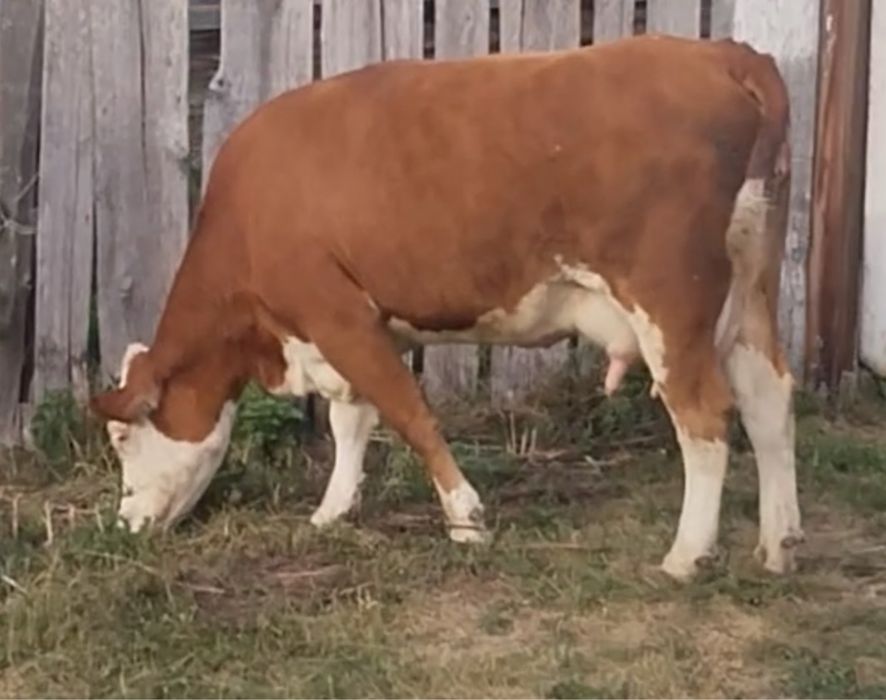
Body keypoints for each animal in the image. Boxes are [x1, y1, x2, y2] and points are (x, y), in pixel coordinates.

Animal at [89, 34, 801, 581]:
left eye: (123, 436)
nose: (125, 524)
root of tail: (723, 53)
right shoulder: (362, 327)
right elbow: (354, 420)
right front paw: (333, 510)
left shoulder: (335, 314)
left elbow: (408, 413)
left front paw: (465, 518)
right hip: (751, 293)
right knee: (769, 400)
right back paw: (779, 544)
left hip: (669, 303)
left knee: (704, 416)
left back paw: (686, 556)